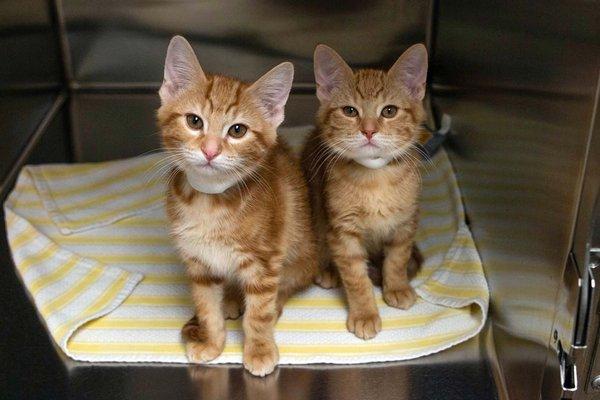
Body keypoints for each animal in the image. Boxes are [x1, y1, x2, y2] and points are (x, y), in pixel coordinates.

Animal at [159, 35, 318, 376]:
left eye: (237, 130)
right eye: (194, 121)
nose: (210, 151)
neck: (209, 202)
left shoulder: (264, 261)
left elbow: (258, 313)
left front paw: (259, 351)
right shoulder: (199, 263)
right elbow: (207, 306)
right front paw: (212, 342)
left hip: (300, 255)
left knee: (285, 285)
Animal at [300, 43, 426, 338]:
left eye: (389, 111)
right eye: (350, 111)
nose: (369, 131)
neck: (375, 180)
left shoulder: (405, 221)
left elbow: (398, 258)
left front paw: (397, 286)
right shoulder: (342, 231)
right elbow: (356, 278)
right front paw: (365, 313)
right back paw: (329, 270)